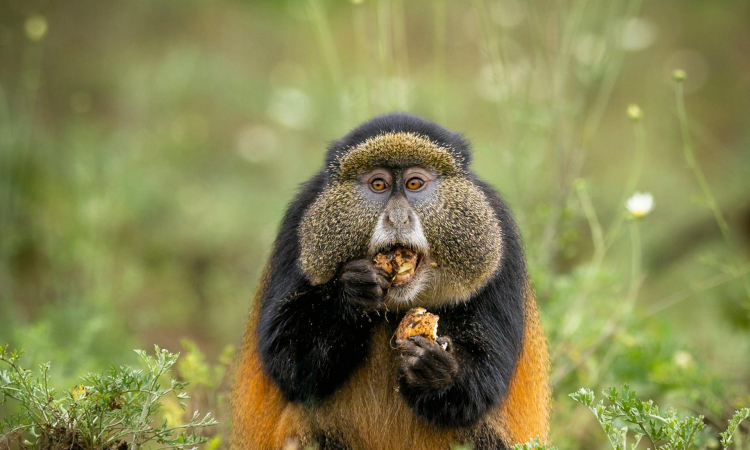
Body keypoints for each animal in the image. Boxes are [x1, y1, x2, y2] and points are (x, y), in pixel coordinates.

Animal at [231, 112, 550, 450]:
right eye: (378, 185)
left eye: (414, 184)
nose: (397, 218)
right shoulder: (299, 220)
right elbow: (287, 360)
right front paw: (351, 295)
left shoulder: (499, 232)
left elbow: (486, 380)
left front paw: (435, 370)